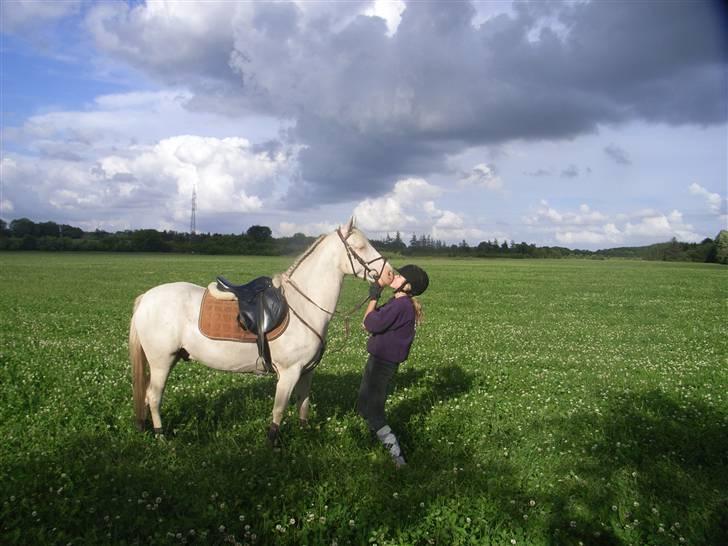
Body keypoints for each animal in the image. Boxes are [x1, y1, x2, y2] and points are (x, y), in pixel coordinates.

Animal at [131, 217, 392, 442]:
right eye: (360, 246)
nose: (389, 274)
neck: (302, 306)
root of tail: (146, 298)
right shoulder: (288, 373)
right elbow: (278, 411)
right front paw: (272, 444)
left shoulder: (306, 372)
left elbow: (303, 405)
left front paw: (305, 435)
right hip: (162, 361)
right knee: (153, 396)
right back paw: (161, 436)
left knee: (146, 396)